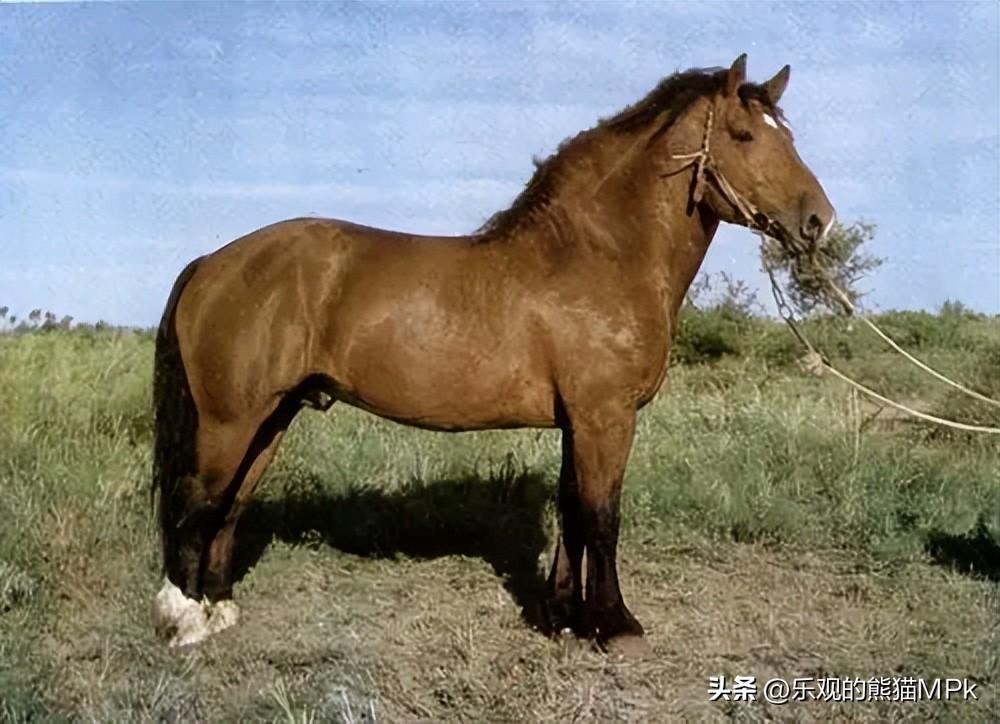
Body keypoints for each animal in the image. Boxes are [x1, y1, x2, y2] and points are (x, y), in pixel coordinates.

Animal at [151, 54, 835, 656]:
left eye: (788, 134)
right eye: (744, 135)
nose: (818, 221)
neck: (598, 257)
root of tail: (212, 262)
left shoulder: (578, 422)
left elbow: (571, 511)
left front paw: (561, 617)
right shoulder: (605, 418)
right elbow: (602, 515)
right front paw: (615, 626)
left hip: (273, 416)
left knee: (231, 505)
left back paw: (218, 609)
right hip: (230, 419)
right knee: (196, 504)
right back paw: (184, 620)